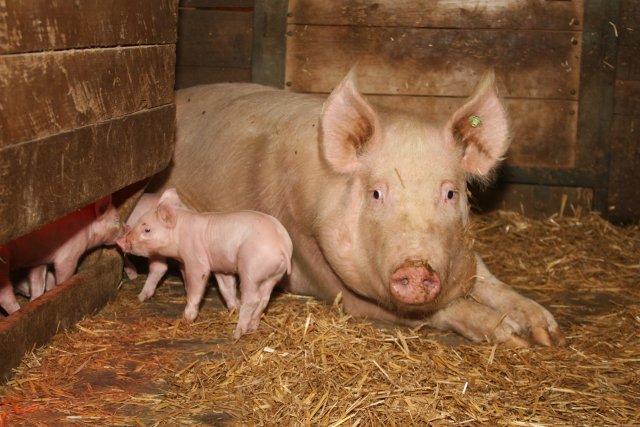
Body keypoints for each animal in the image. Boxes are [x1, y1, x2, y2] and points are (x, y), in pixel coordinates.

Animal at [117, 189, 292, 340]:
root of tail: (281, 244)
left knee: (252, 299)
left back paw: (237, 333)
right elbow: (226, 288)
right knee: (264, 298)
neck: (179, 234)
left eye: (147, 230)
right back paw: (252, 327)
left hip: (250, 269)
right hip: (273, 275)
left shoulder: (196, 261)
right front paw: (233, 307)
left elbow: (196, 288)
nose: (120, 241)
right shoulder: (221, 266)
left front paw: (187, 319)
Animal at [159, 72, 564, 346]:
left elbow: (487, 279)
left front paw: (547, 333)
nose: (416, 266)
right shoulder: (322, 271)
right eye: (376, 193)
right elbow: (432, 310)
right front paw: (511, 336)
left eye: (450, 193)